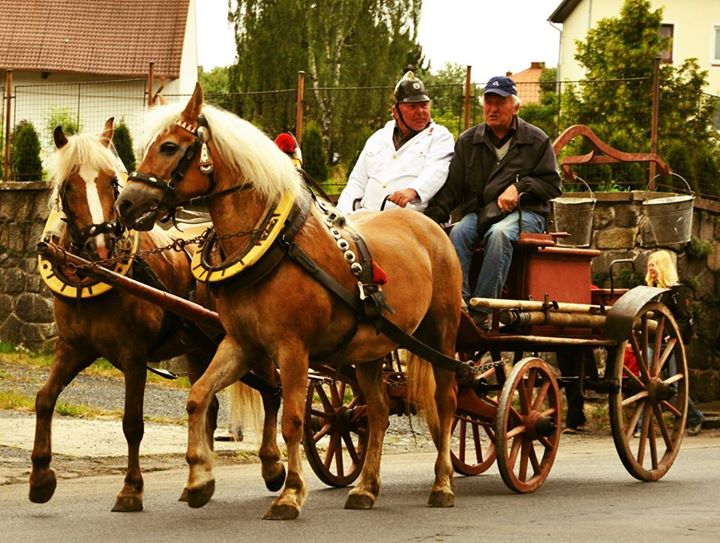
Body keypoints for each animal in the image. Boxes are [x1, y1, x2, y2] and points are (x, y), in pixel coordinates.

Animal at [30, 117, 225, 512]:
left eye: (111, 181)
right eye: (69, 185)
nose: (102, 244)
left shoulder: (134, 357)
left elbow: (132, 423)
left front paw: (131, 489)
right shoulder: (73, 348)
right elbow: (44, 399)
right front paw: (40, 478)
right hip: (199, 349)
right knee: (209, 408)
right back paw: (197, 481)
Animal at [113, 83, 462, 520]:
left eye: (170, 147)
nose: (126, 204)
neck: (271, 245)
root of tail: (429, 225)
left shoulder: (293, 349)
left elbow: (294, 420)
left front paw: (290, 492)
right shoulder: (240, 344)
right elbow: (198, 398)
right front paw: (199, 479)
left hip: (440, 335)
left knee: (446, 404)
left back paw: (443, 483)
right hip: (370, 349)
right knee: (379, 414)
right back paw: (365, 488)